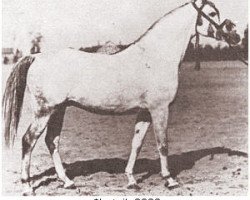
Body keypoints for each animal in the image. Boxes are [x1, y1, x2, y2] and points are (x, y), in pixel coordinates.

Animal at [2, 0, 240, 195]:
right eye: (212, 13)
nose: (235, 36)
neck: (156, 56)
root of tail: (36, 57)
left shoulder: (145, 111)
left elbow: (137, 143)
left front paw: (131, 180)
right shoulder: (160, 109)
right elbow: (163, 143)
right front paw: (169, 180)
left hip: (59, 110)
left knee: (52, 141)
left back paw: (68, 182)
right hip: (44, 111)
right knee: (28, 140)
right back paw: (27, 186)